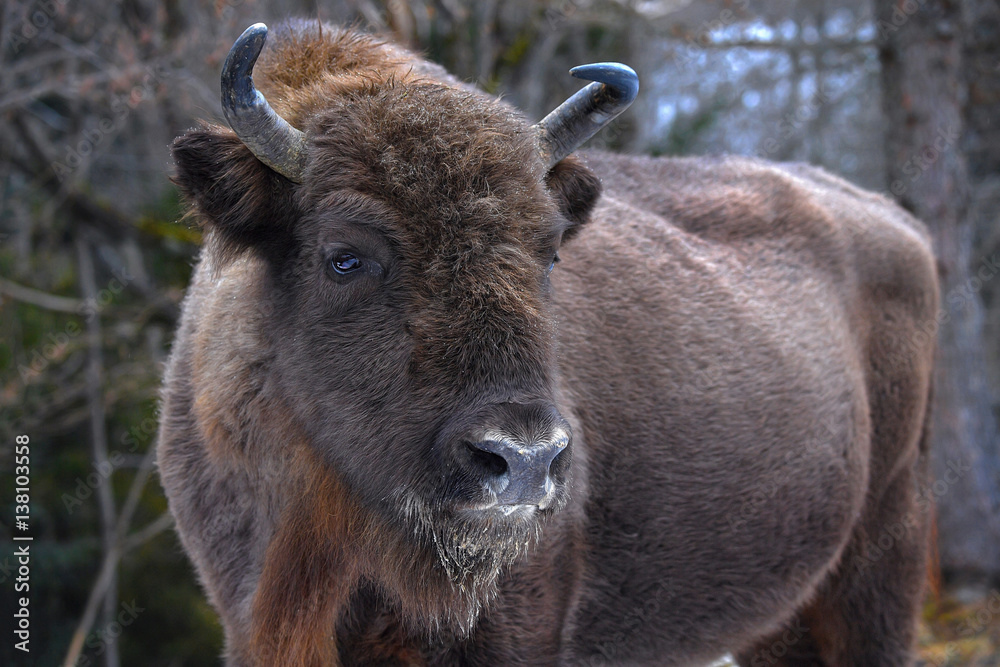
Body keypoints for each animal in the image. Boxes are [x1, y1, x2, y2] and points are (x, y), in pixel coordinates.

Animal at [157, 19, 940, 666]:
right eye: (344, 256)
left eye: (552, 253)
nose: (524, 459)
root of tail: (900, 224)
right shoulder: (252, 623)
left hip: (879, 563)